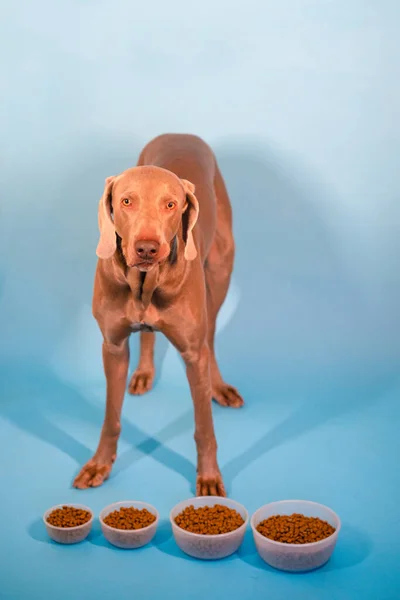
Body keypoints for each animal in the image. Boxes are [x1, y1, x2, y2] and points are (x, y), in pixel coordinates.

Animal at [74, 134, 244, 494]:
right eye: (126, 201)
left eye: (171, 205)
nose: (147, 249)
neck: (145, 285)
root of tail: (181, 134)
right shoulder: (112, 347)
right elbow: (111, 417)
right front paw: (99, 465)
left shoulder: (193, 354)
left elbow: (203, 427)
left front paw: (209, 478)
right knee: (149, 336)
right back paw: (143, 373)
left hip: (220, 272)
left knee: (210, 337)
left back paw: (219, 386)